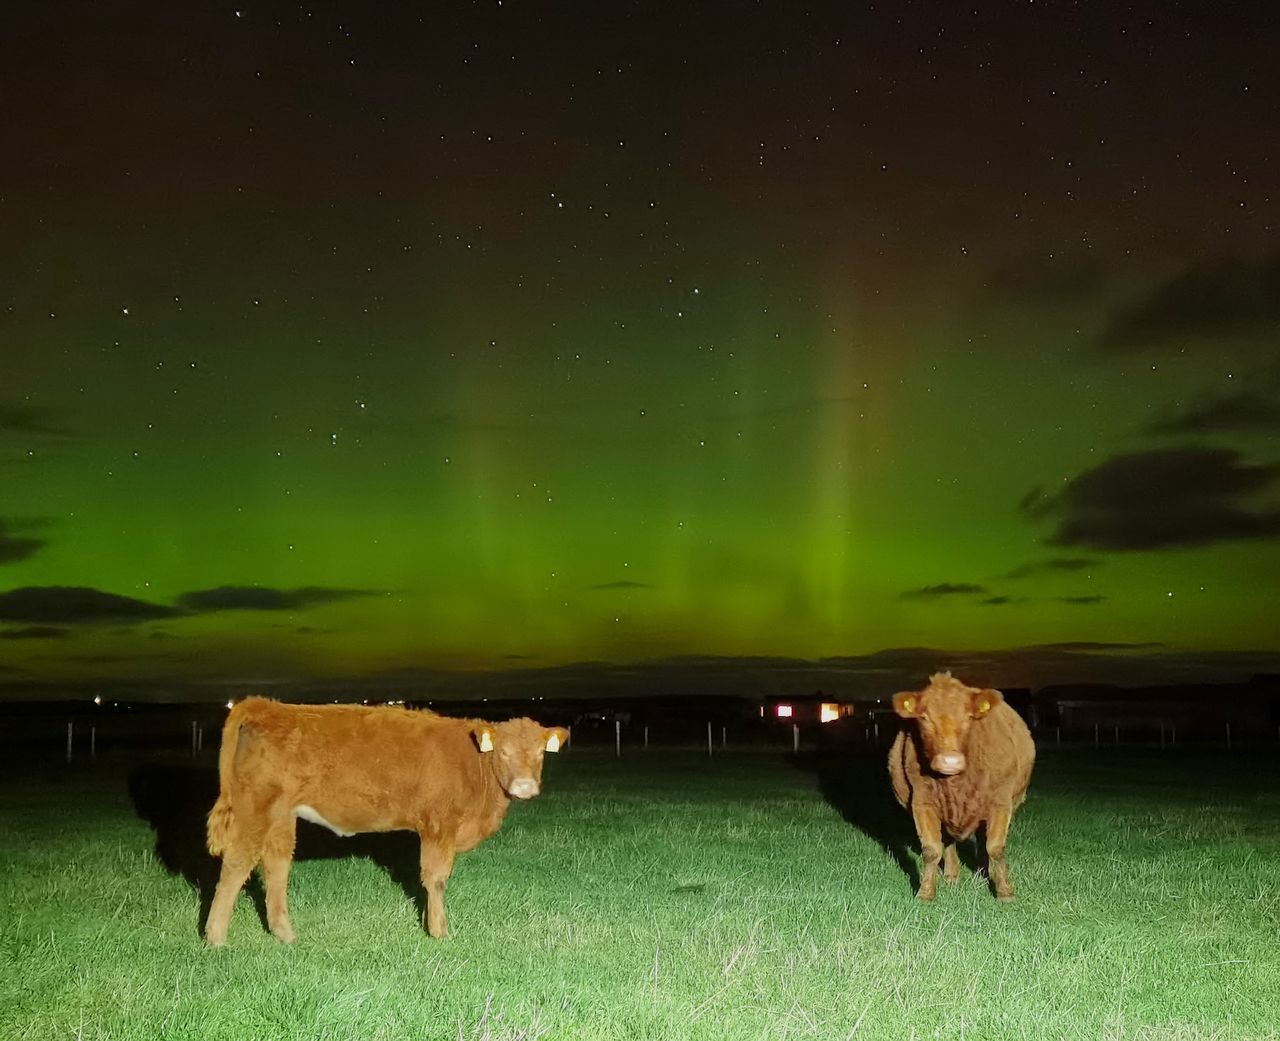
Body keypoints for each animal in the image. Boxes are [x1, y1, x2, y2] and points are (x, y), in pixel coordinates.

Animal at [203, 696, 565, 947]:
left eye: (540, 753)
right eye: (503, 751)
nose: (524, 786)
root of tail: (268, 706)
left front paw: (427, 921)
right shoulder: (439, 824)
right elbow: (436, 878)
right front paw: (439, 932)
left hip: (281, 815)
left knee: (276, 865)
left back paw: (285, 935)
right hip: (255, 807)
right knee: (237, 864)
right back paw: (216, 938)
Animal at [896, 670, 1034, 896]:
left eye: (969, 717)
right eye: (924, 718)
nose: (950, 761)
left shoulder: (1001, 801)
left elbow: (995, 847)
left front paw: (1005, 891)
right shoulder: (922, 802)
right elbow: (931, 849)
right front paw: (926, 892)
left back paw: (981, 873)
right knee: (949, 842)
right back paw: (952, 875)